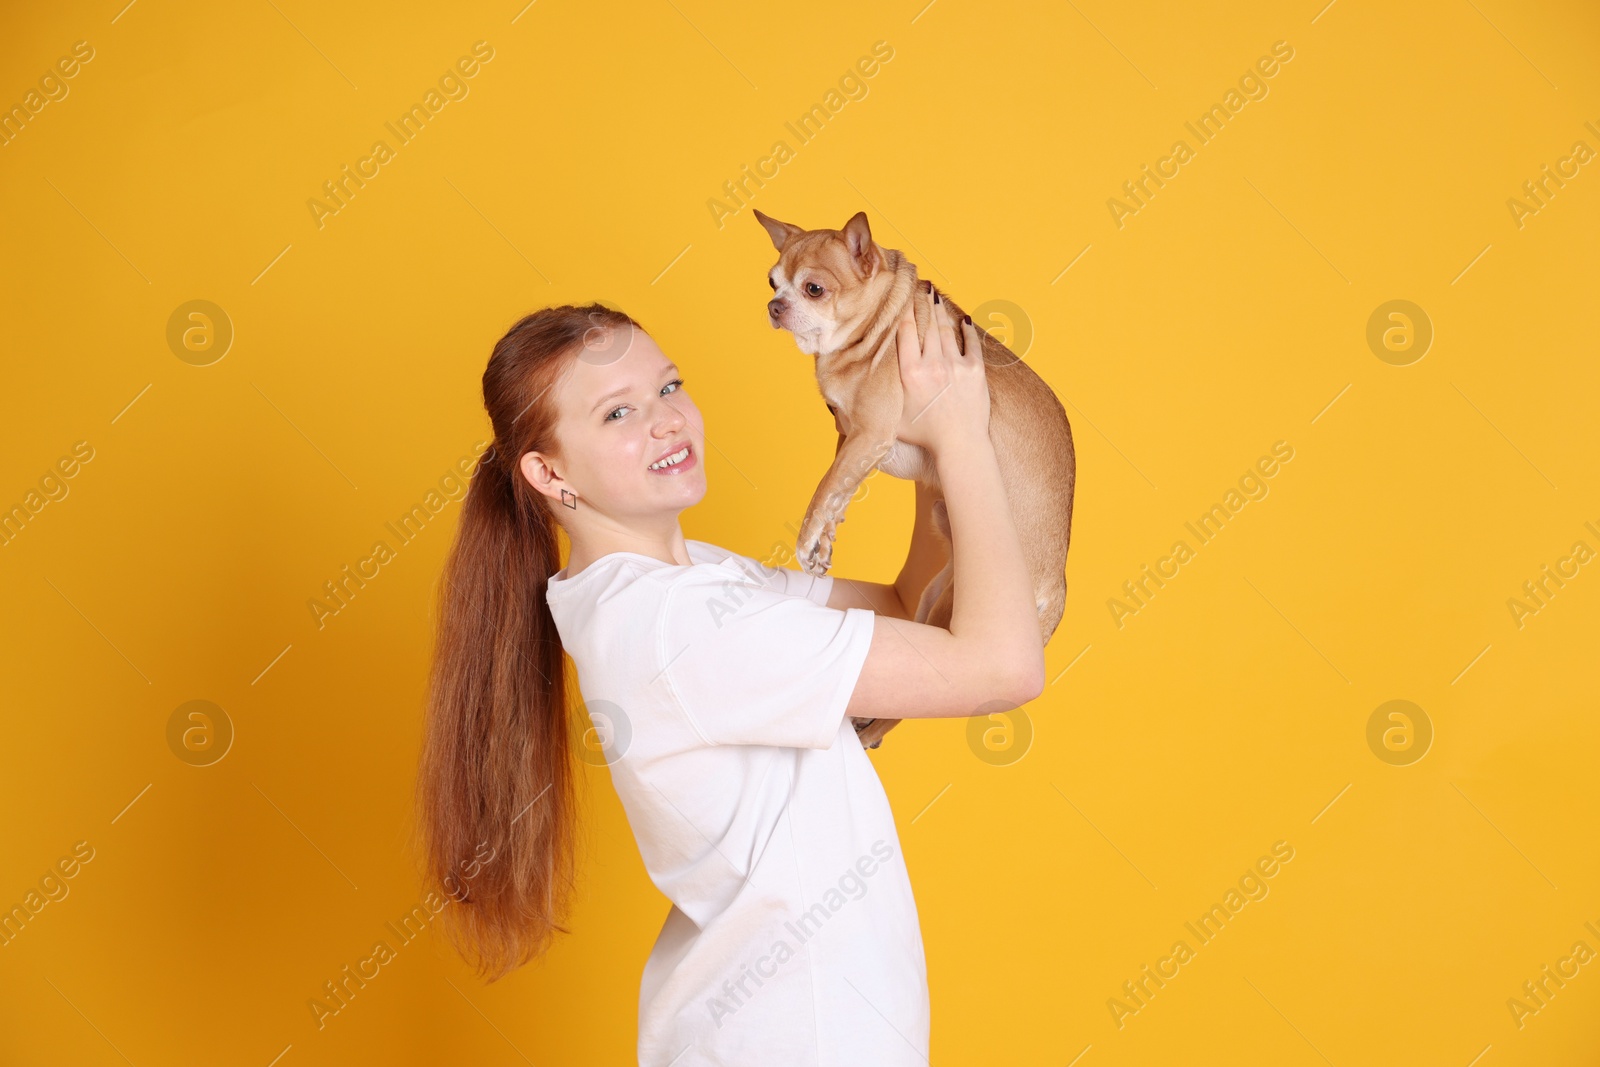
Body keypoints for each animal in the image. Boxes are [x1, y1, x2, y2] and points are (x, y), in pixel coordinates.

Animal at [755, 204, 1081, 748]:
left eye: (814, 289)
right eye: (772, 281)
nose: (774, 306)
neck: (877, 327)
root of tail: (1056, 586)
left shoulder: (870, 435)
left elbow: (823, 490)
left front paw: (806, 542)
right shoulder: (853, 440)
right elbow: (838, 491)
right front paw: (824, 544)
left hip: (955, 606)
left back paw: (871, 729)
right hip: (935, 594)